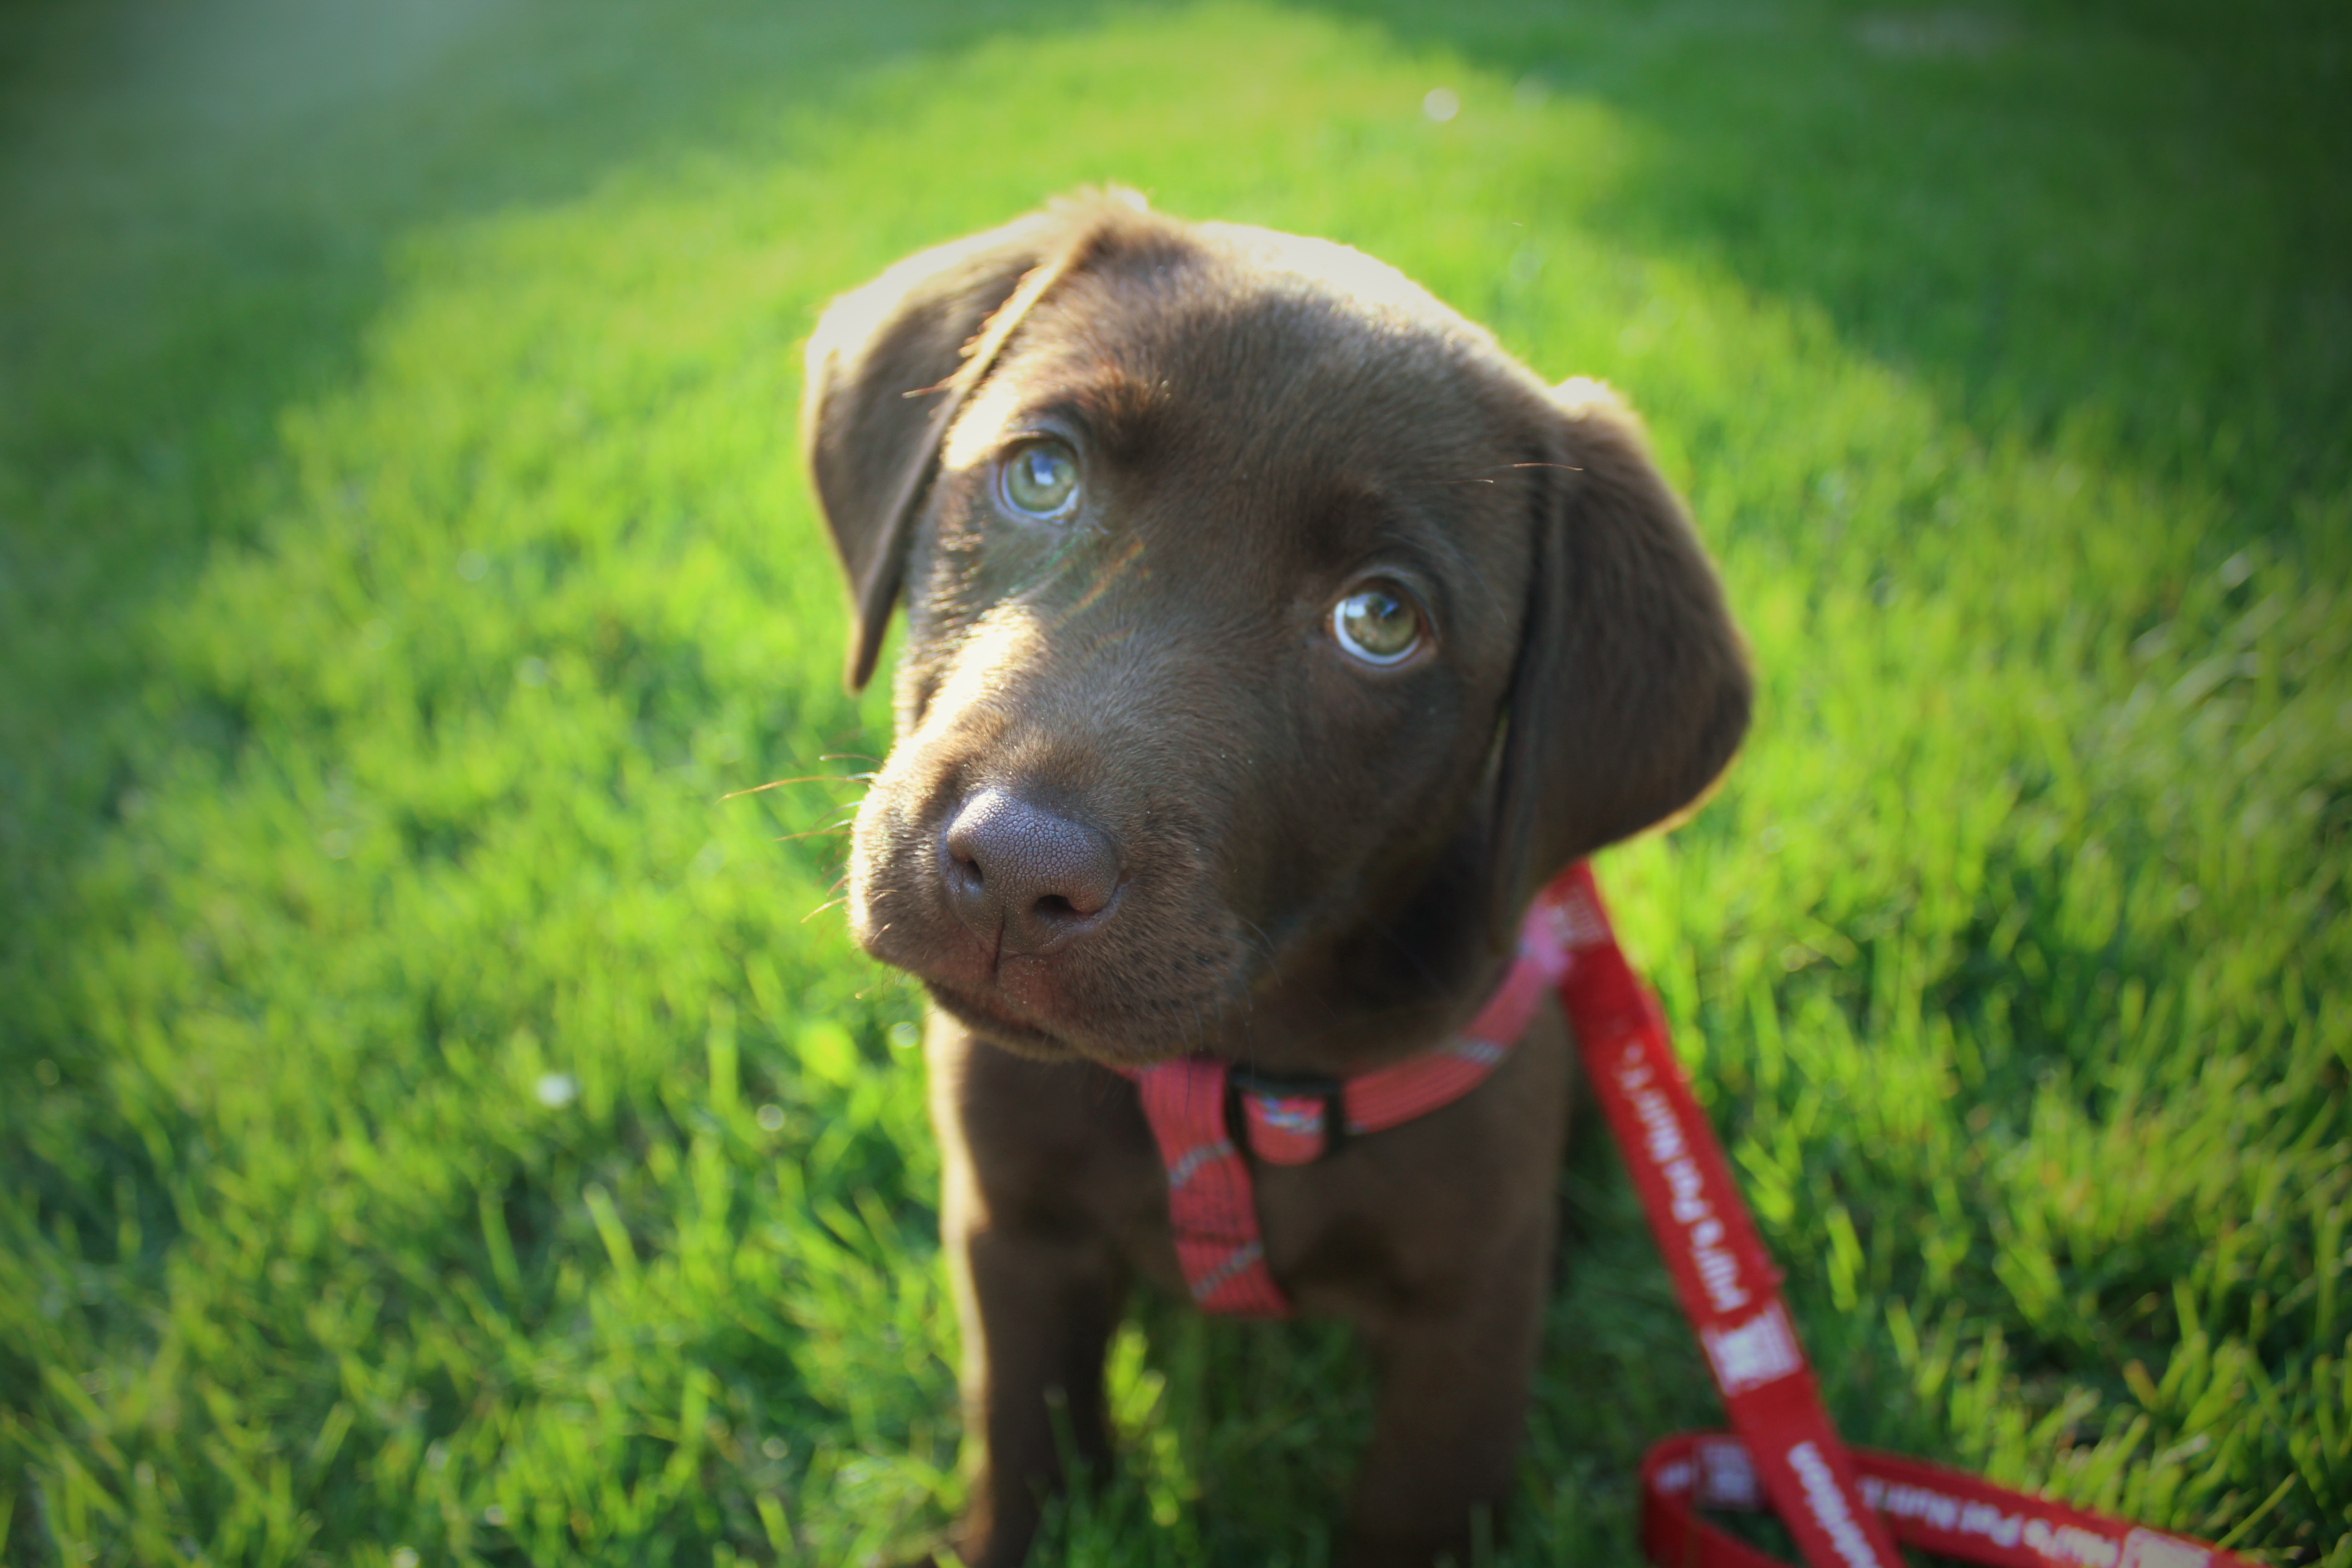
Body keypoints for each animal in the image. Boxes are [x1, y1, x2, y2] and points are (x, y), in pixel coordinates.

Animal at [809, 190, 1749, 1561]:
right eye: (1040, 474)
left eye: (1380, 620)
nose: (1016, 873)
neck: (1222, 1077)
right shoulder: (1010, 1231)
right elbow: (1023, 1448)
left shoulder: (1466, 1325)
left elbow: (1408, 1513)